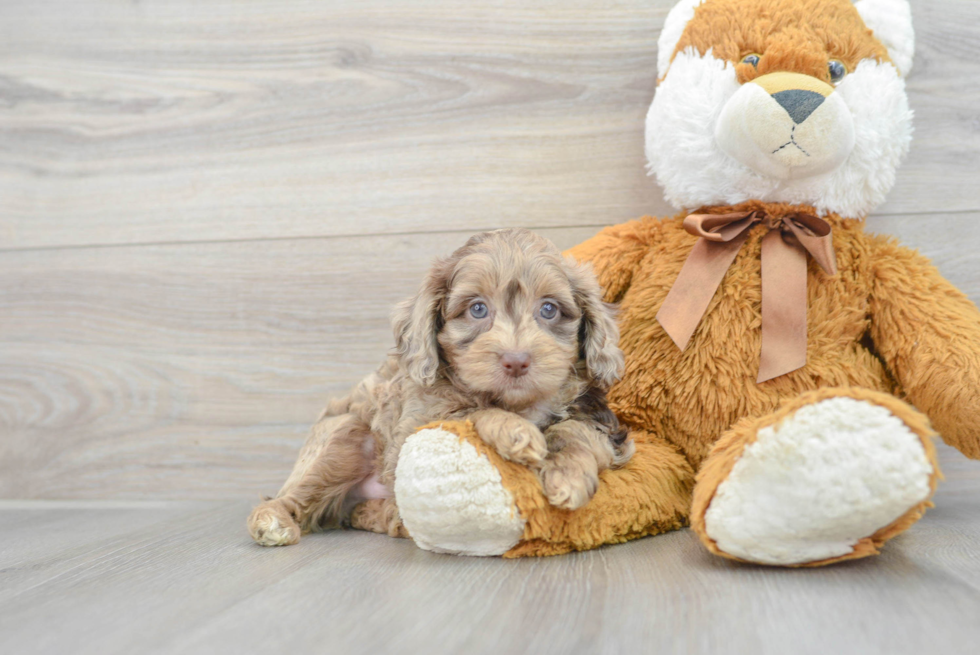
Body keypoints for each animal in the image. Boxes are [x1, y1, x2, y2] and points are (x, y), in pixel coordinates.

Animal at [247, 228, 636, 544]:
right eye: (477, 309)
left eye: (549, 309)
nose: (516, 360)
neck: (519, 403)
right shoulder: (413, 428)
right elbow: (473, 411)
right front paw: (516, 432)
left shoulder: (599, 418)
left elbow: (574, 430)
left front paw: (568, 475)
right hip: (343, 437)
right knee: (296, 494)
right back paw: (272, 521)